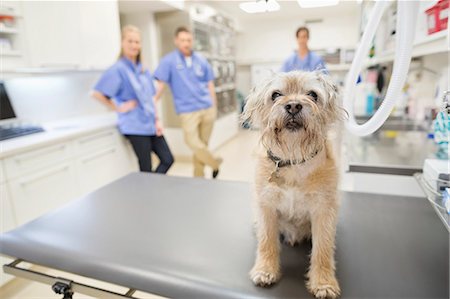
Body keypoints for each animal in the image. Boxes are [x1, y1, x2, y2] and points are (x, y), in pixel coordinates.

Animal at [243, 71, 344, 298]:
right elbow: (266, 241)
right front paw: (265, 269)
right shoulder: (266, 208)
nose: (294, 106)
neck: (294, 160)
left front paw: (323, 282)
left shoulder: (324, 212)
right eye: (276, 95)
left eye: (313, 94)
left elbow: (323, 250)